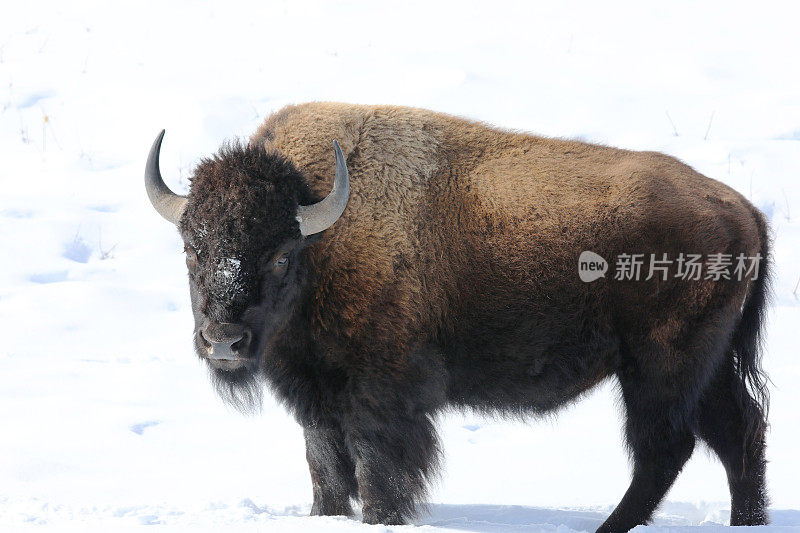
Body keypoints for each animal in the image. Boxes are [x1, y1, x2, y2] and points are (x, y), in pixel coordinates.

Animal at [144, 102, 768, 528]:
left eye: (279, 254)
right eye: (193, 248)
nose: (223, 340)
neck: (323, 235)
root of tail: (743, 209)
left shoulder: (380, 399)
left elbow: (377, 473)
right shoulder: (316, 400)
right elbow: (327, 471)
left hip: (658, 369)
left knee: (665, 449)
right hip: (703, 369)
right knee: (739, 432)